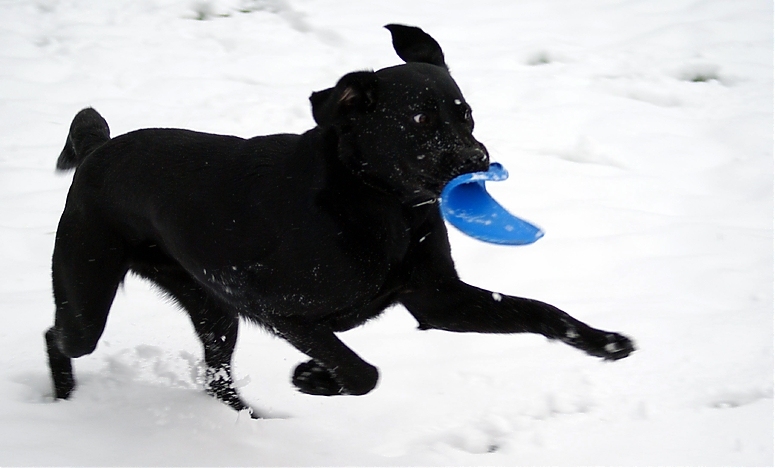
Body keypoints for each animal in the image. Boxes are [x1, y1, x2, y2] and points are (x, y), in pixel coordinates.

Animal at [44, 23, 636, 414]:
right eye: (420, 120)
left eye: (464, 112)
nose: (479, 160)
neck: (379, 204)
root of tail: (97, 151)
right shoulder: (285, 310)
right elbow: (361, 371)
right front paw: (312, 377)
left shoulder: (439, 299)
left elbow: (542, 310)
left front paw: (606, 342)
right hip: (88, 295)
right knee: (57, 336)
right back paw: (63, 401)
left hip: (213, 309)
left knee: (216, 378)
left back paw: (250, 419)